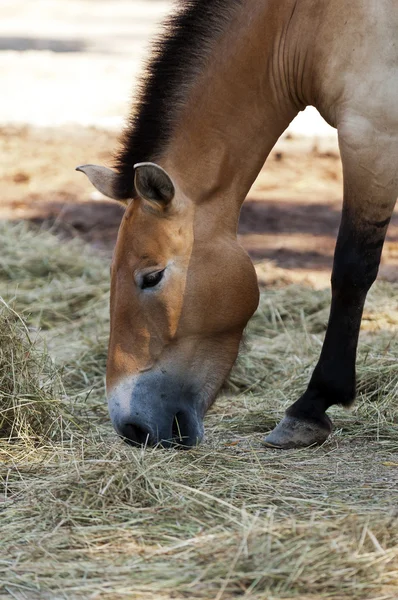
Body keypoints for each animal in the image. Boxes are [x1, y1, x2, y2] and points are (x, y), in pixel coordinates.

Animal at [77, 0, 398, 450]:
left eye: (152, 276)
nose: (132, 429)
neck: (309, 22)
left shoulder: (372, 138)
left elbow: (351, 272)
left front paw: (310, 408)